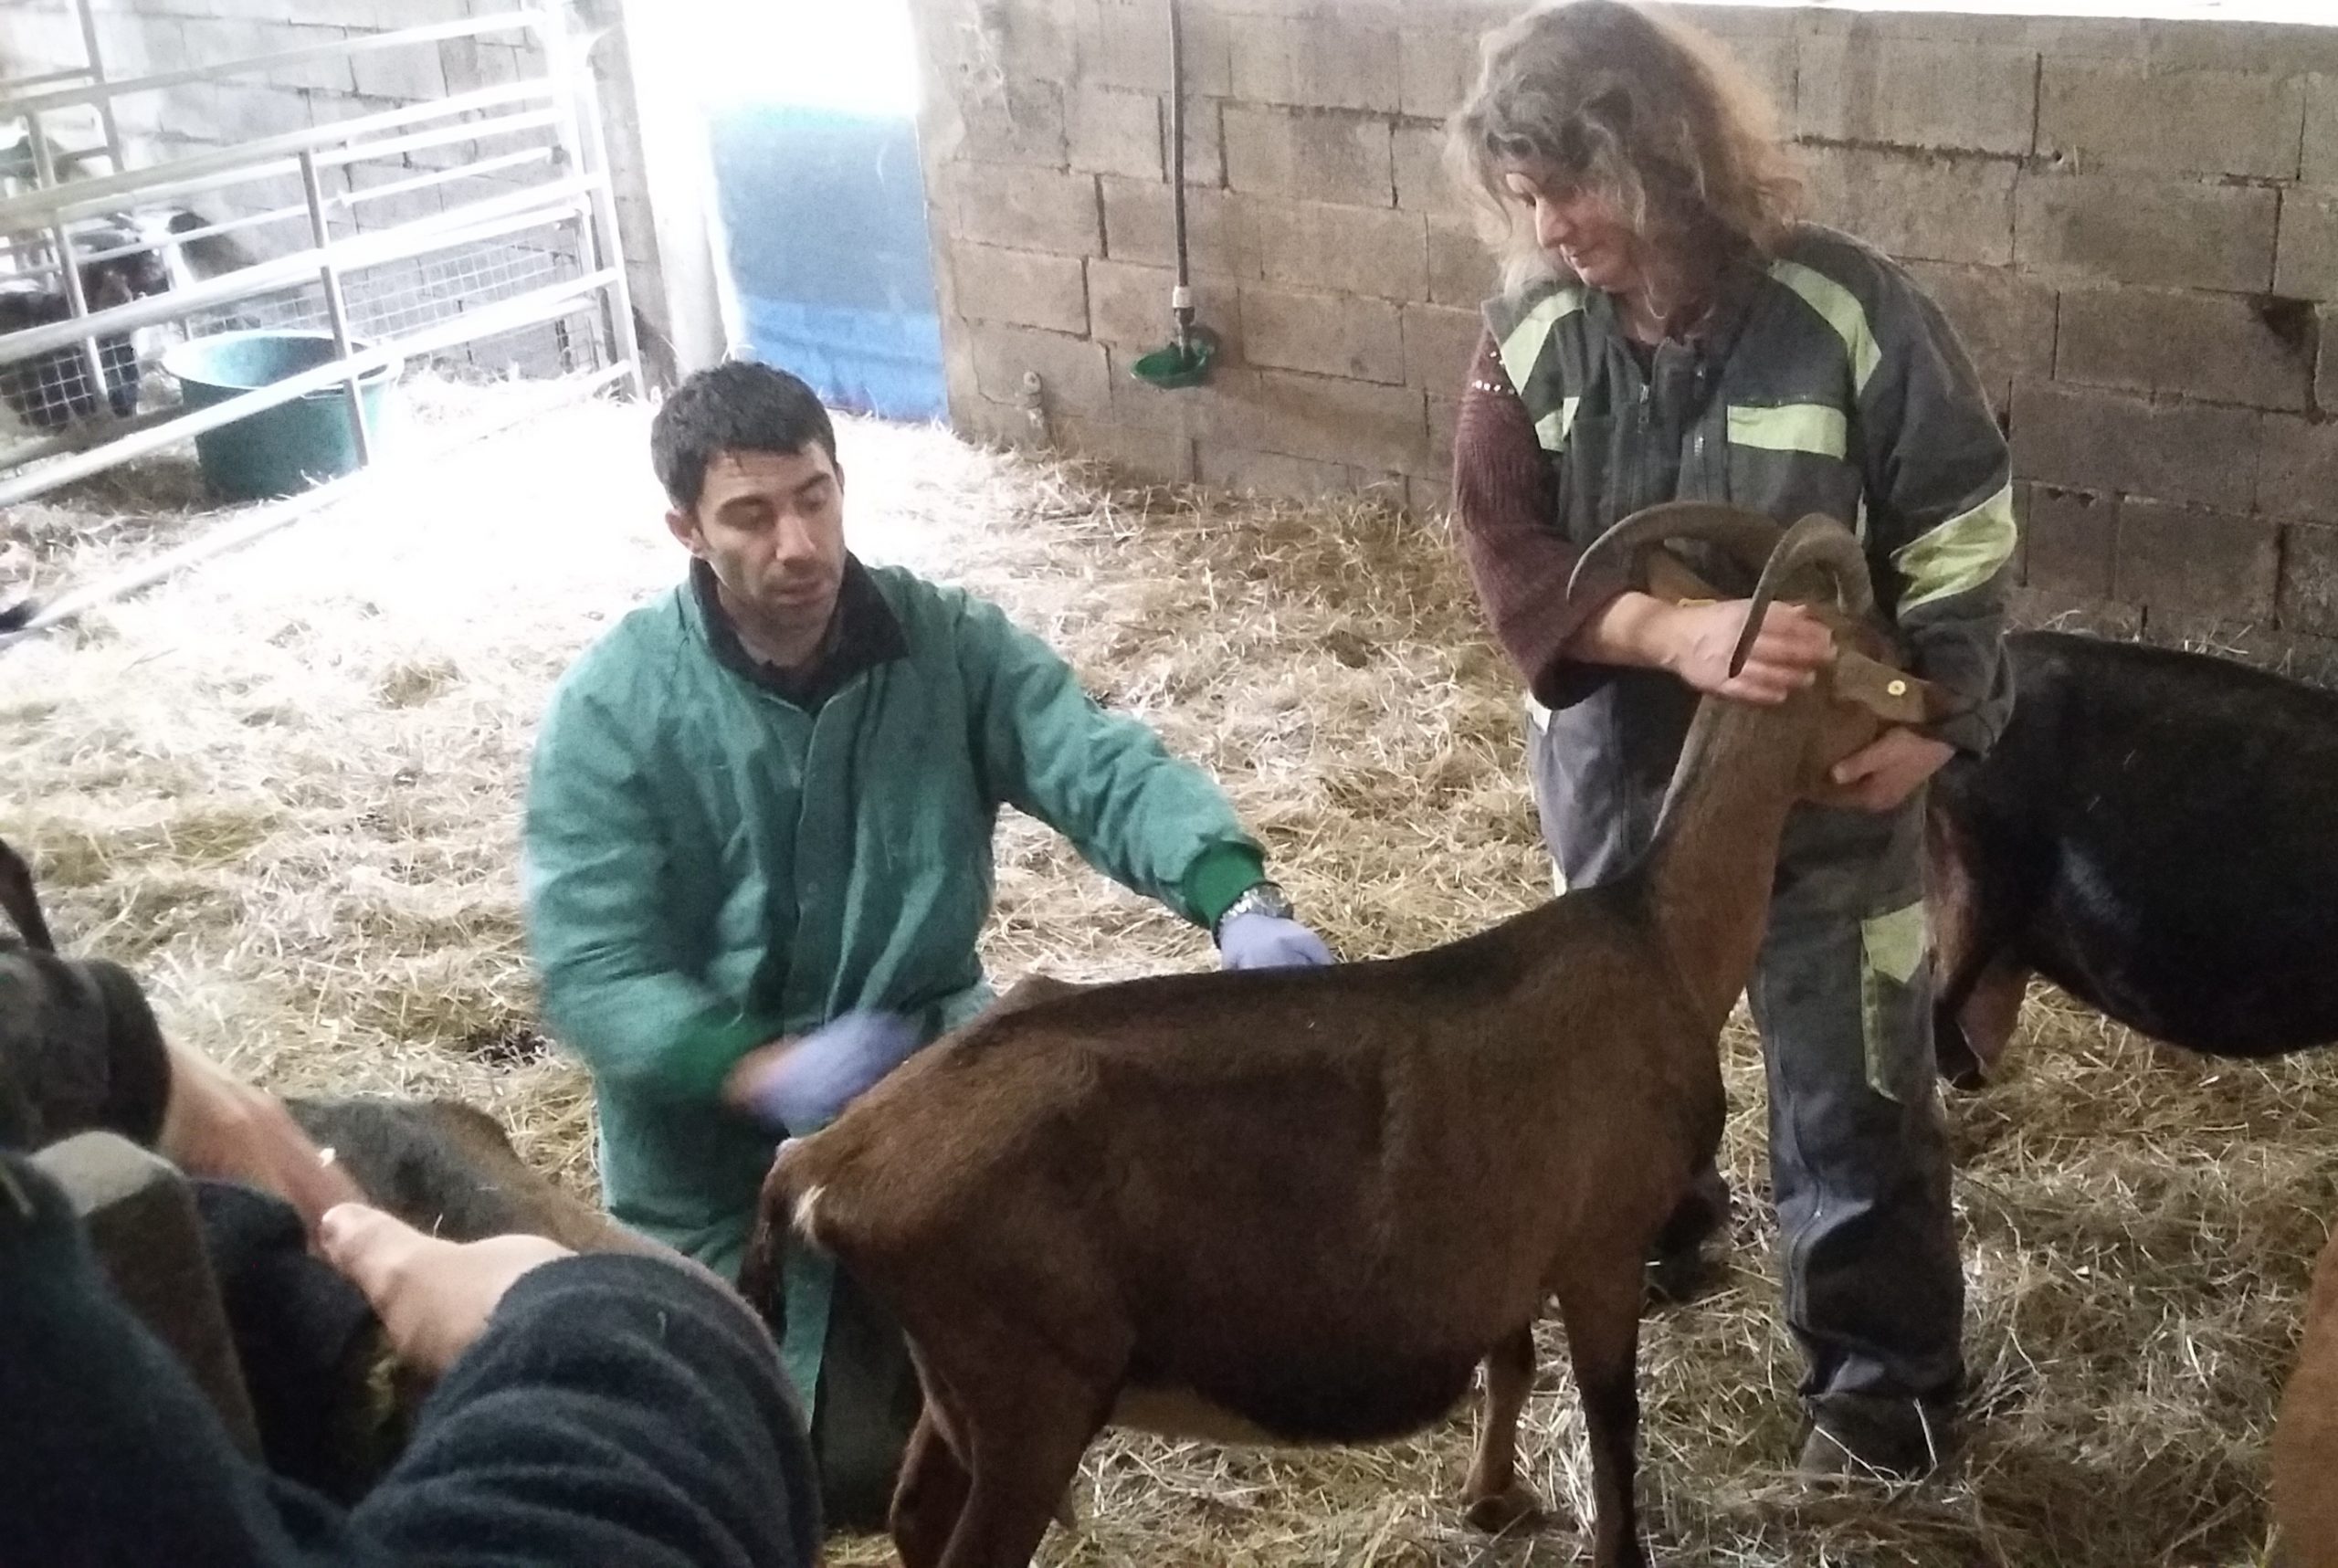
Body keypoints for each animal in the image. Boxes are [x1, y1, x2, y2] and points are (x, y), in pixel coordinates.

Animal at [744, 505, 1943, 1568]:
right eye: (1879, 661)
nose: (1941, 708)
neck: (1652, 935)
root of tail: (824, 1163)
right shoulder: (1600, 1247)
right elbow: (1612, 1430)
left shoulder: (1503, 1250)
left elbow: (1509, 1364)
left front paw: (1491, 1499)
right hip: (1028, 1391)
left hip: (959, 1389)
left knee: (912, 1512)